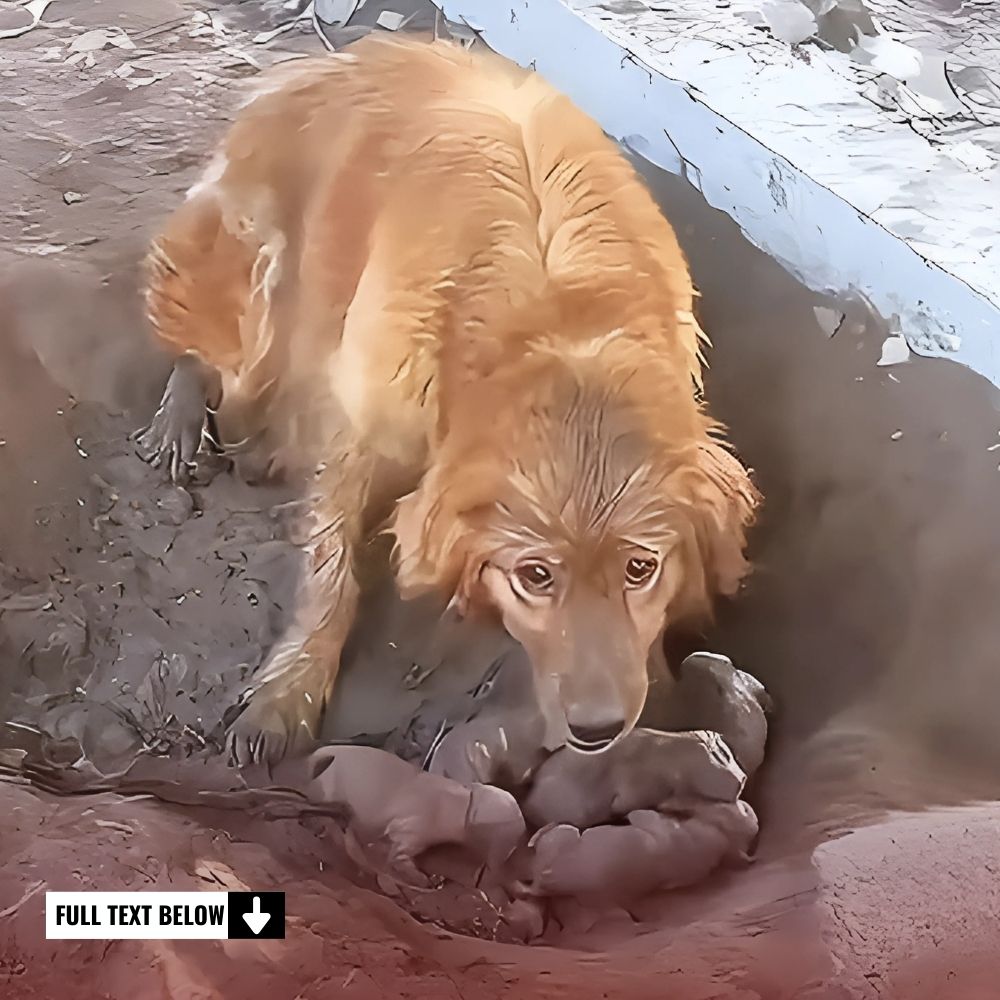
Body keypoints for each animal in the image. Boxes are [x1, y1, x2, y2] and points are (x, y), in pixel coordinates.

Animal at [137, 31, 760, 764]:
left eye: (641, 568)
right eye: (534, 577)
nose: (599, 730)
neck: (558, 318)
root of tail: (319, 63)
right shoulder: (363, 430)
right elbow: (331, 574)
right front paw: (286, 694)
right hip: (252, 262)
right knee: (212, 365)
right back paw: (189, 426)